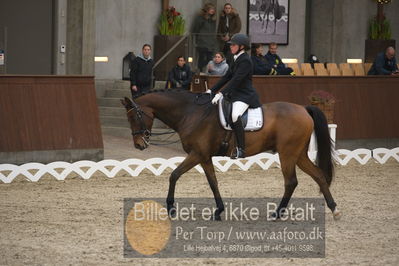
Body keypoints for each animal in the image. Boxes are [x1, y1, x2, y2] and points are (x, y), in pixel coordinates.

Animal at [120, 89, 342, 220]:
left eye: (133, 117)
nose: (139, 145)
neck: (190, 113)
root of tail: (303, 109)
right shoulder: (203, 156)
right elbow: (209, 181)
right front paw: (218, 210)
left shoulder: (198, 154)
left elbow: (178, 175)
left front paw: (172, 208)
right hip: (298, 154)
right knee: (318, 175)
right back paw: (334, 209)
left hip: (287, 154)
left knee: (291, 182)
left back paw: (277, 213)